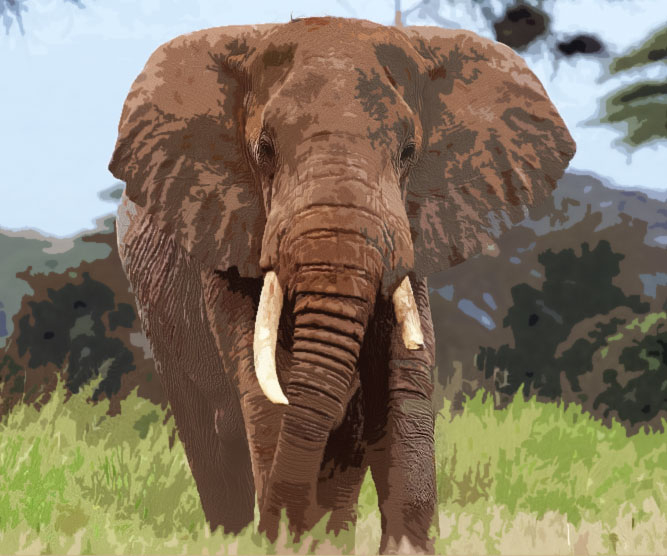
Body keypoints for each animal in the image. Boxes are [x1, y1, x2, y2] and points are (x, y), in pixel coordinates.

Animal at [109, 16, 574, 553]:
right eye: (264, 149)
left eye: (408, 152)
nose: (278, 531)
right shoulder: (224, 229)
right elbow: (268, 387)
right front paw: (283, 538)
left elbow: (402, 384)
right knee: (212, 441)